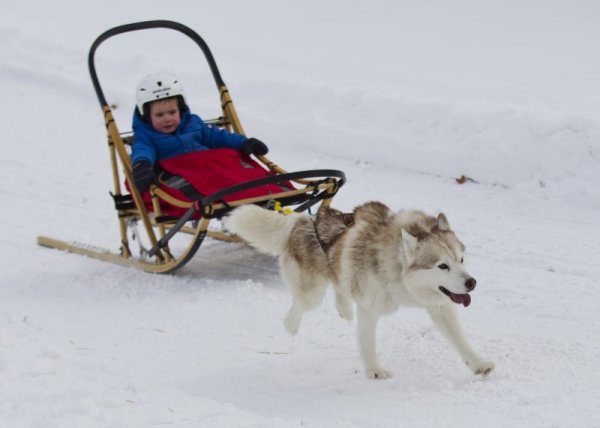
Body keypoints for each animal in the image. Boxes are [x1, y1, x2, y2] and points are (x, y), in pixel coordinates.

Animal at [227, 202, 494, 380]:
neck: (394, 269)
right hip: (312, 295)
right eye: (442, 266)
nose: (472, 283)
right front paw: (374, 370)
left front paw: (478, 363)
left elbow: (460, 340)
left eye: (461, 259)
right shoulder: (370, 307)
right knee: (300, 306)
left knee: (339, 286)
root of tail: (302, 221)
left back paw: (343, 309)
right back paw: (291, 325)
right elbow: (368, 343)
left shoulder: (439, 304)